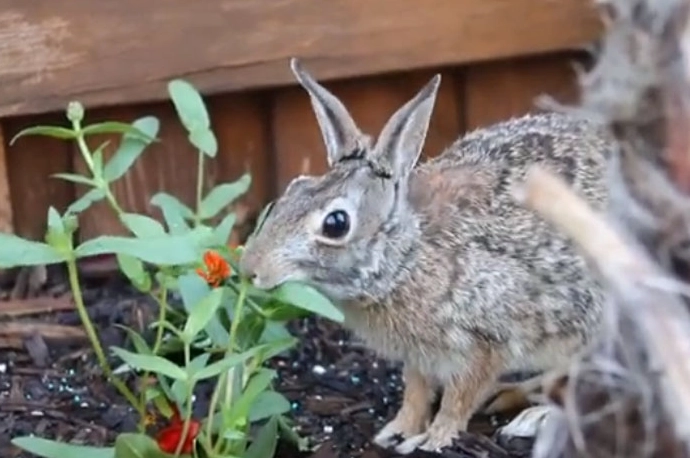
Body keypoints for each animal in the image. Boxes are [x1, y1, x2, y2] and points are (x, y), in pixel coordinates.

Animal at [239, 58, 613, 454]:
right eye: (295, 189)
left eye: (336, 224)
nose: (250, 269)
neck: (404, 258)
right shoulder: (418, 356)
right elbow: (415, 393)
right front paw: (396, 432)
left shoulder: (484, 343)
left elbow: (457, 400)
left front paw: (433, 440)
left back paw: (536, 417)